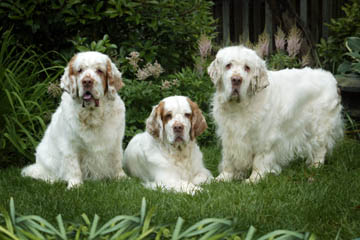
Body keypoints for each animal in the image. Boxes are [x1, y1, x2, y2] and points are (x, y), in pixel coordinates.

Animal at [21, 51, 127, 188]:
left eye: (99, 70)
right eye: (79, 70)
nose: (87, 81)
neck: (92, 114)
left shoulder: (115, 141)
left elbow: (117, 160)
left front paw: (121, 178)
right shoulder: (69, 145)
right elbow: (73, 166)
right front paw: (75, 185)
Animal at [210, 46, 344, 183]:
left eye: (247, 67)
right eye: (228, 65)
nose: (236, 80)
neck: (239, 107)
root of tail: (332, 79)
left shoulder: (263, 138)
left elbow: (259, 160)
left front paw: (254, 179)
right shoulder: (229, 135)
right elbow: (228, 159)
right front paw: (223, 177)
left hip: (320, 127)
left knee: (321, 148)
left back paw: (316, 166)